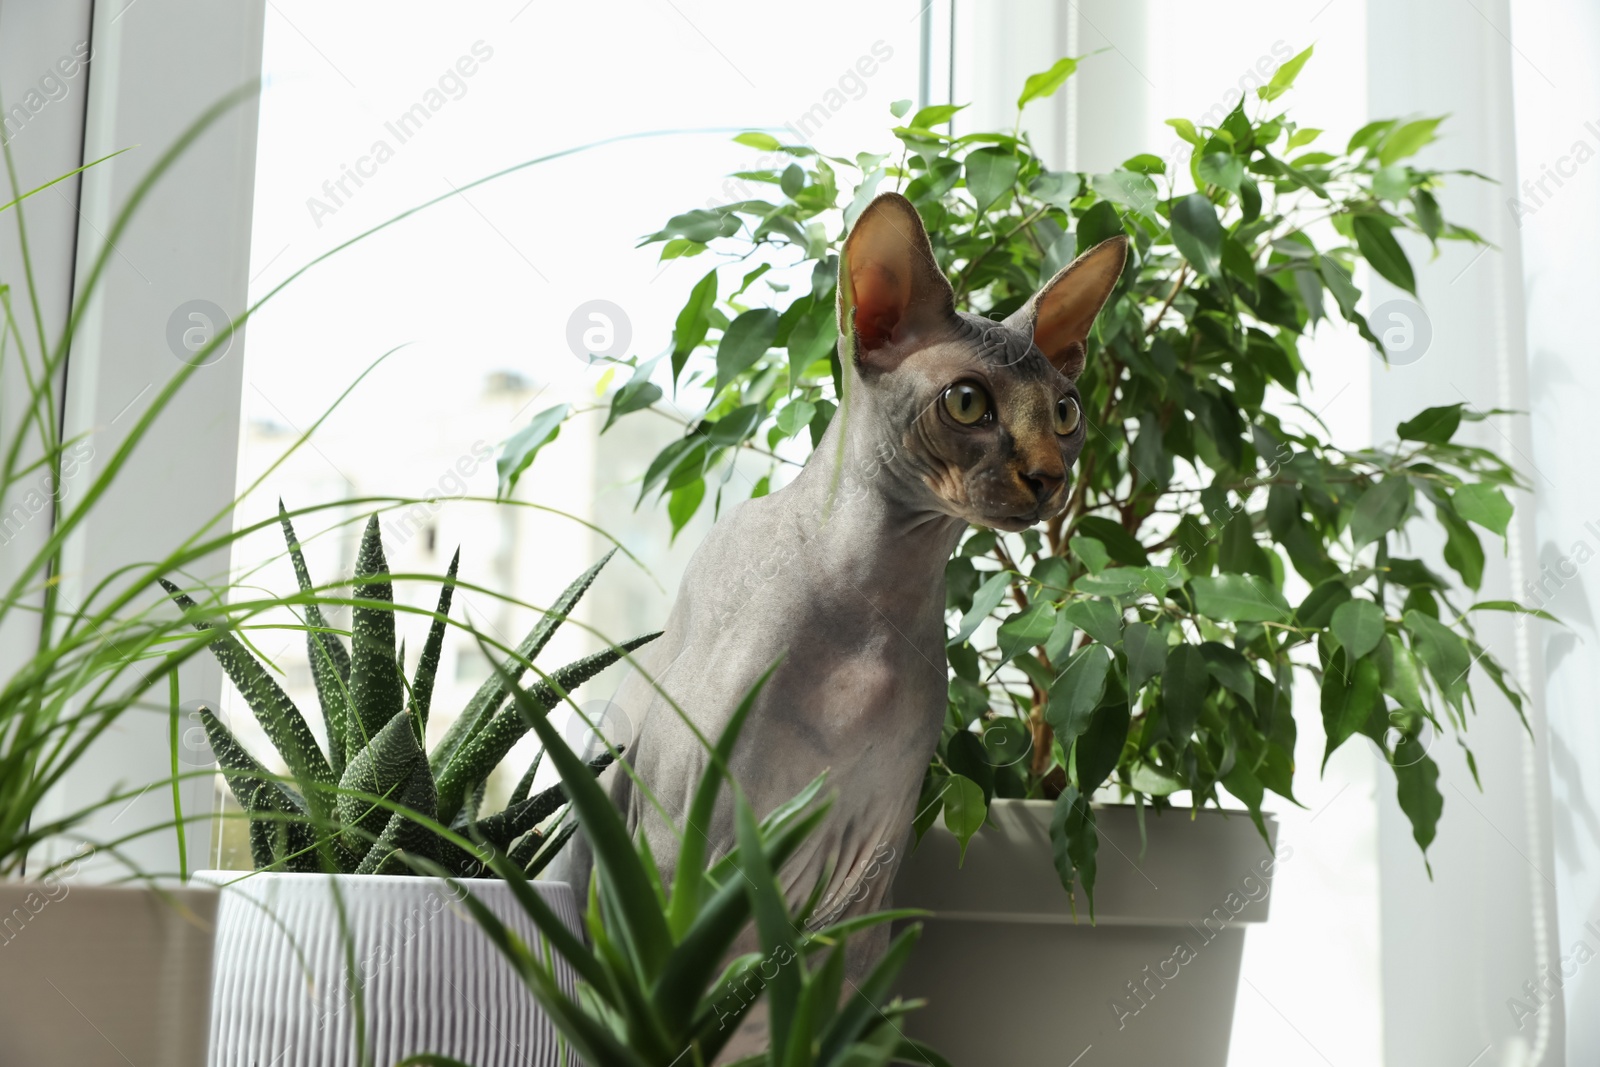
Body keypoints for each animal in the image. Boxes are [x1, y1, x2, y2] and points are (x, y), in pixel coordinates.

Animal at [550, 189, 1126, 985]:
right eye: (968, 403)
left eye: (1066, 412)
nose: (1048, 477)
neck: (877, 606)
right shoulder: (685, 862)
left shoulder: (865, 878)